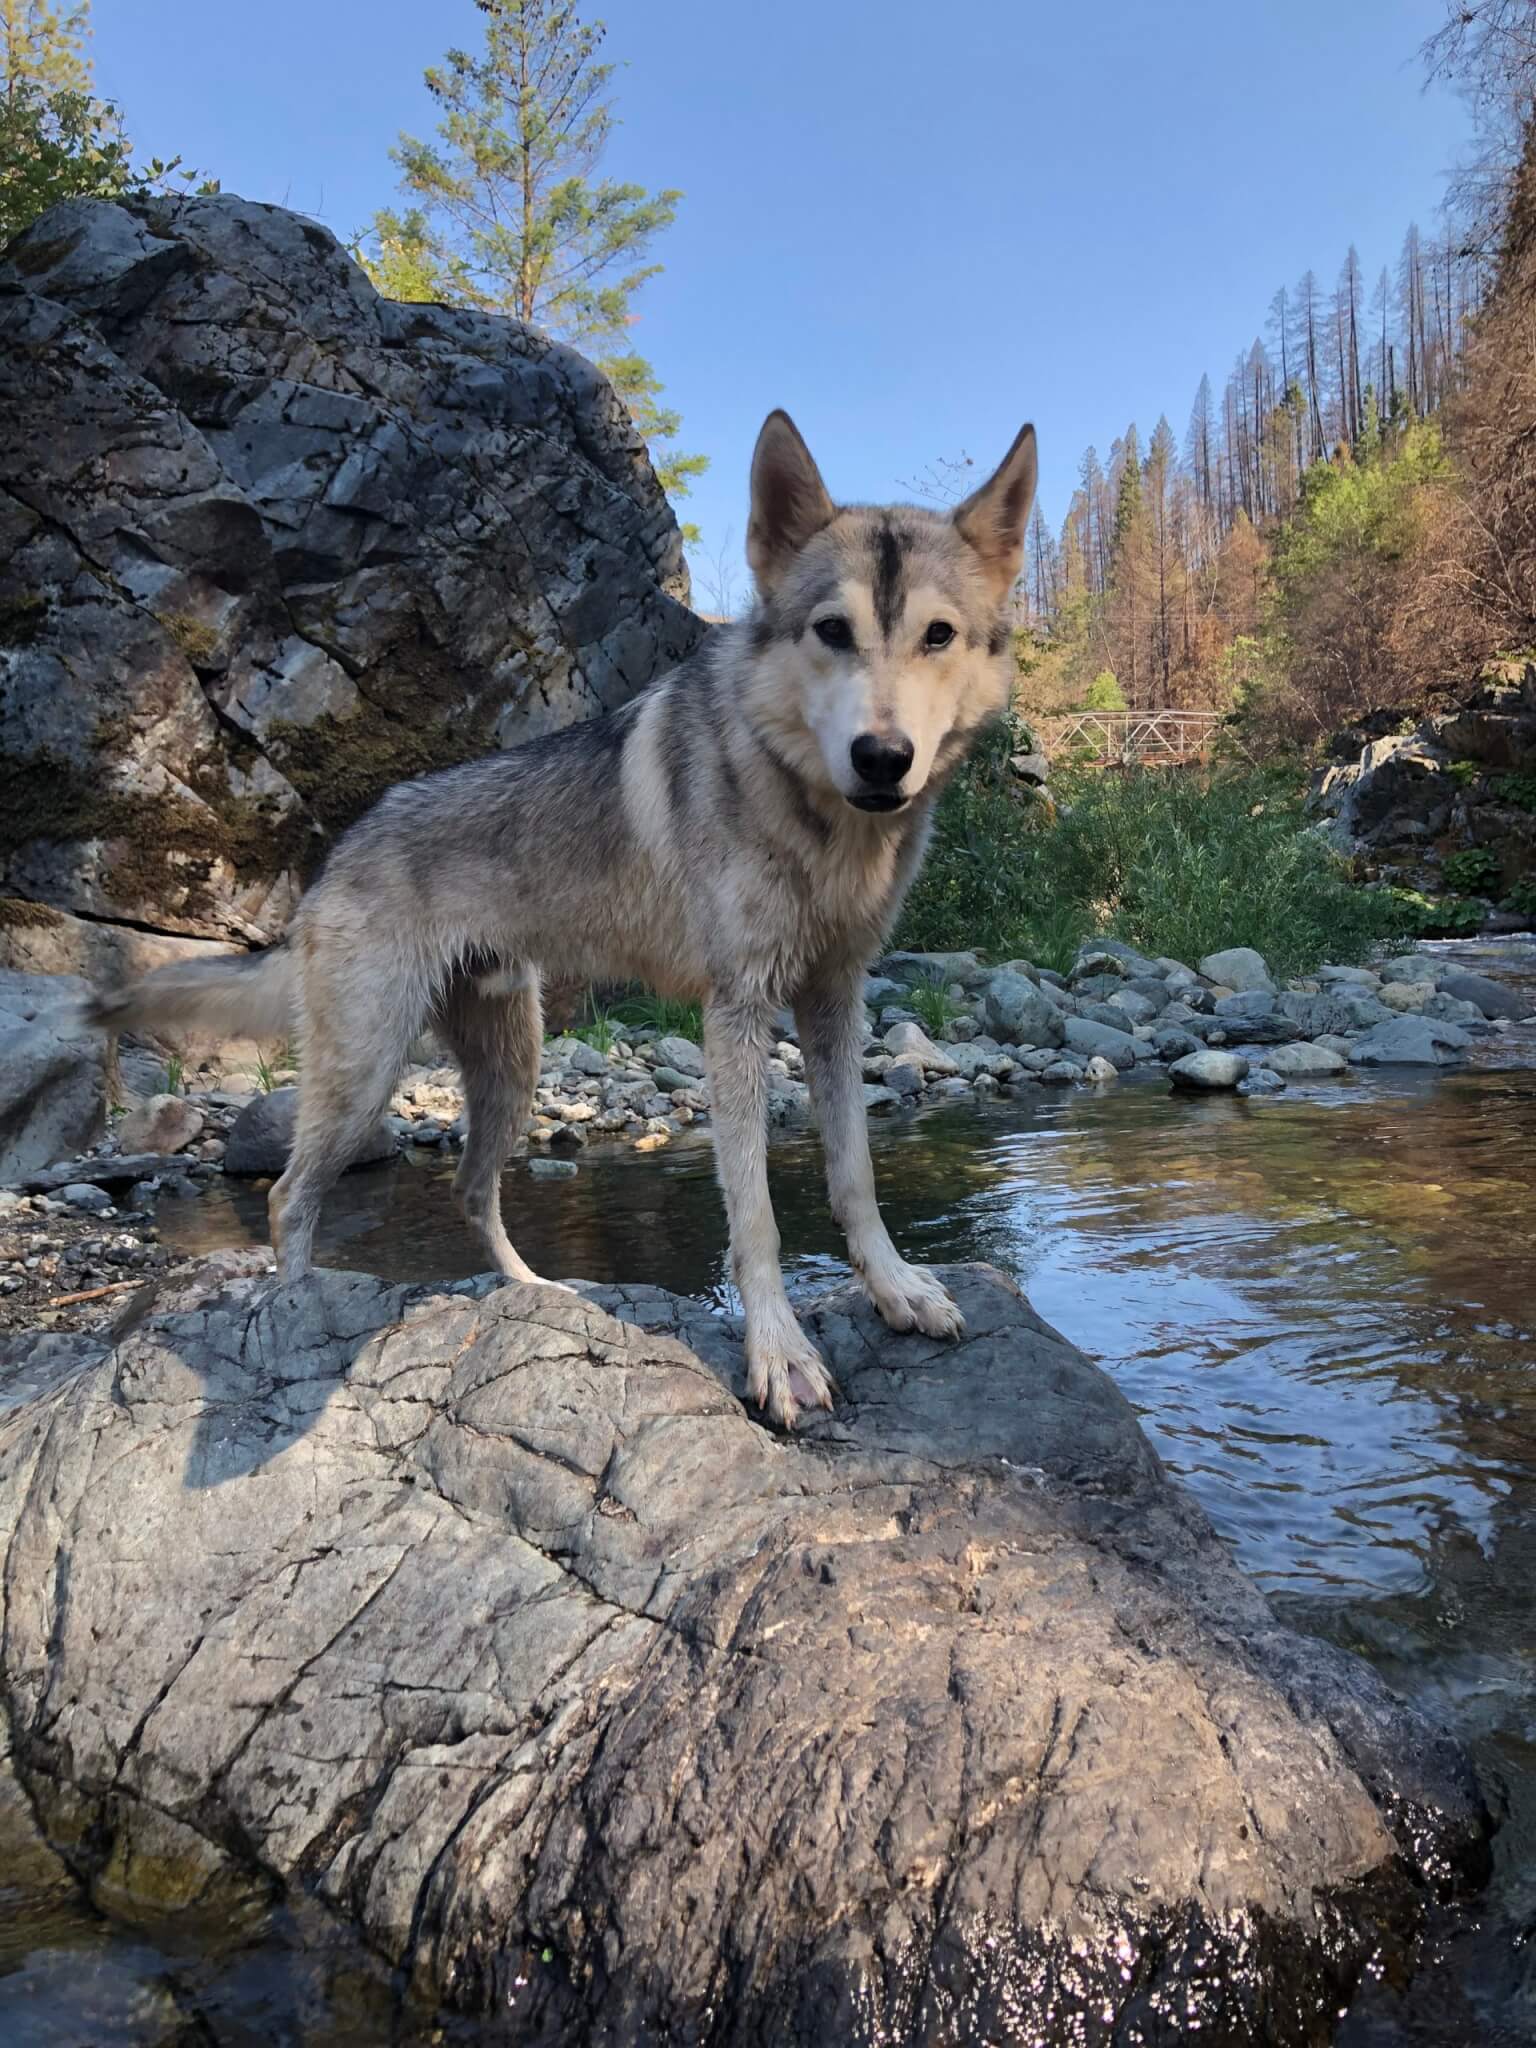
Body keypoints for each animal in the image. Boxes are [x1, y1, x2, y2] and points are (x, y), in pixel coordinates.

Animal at [92, 409, 1037, 1428]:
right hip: (367, 1077)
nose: (882, 758)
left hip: (512, 1067)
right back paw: (300, 1305)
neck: (815, 816)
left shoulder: (834, 1001)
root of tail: (337, 853)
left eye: (938, 636)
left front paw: (897, 1291)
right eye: (833, 631)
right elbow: (756, 1216)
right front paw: (779, 1357)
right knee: (289, 1198)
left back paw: (537, 1293)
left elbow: (855, 1177)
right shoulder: (737, 1015)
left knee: (469, 1190)